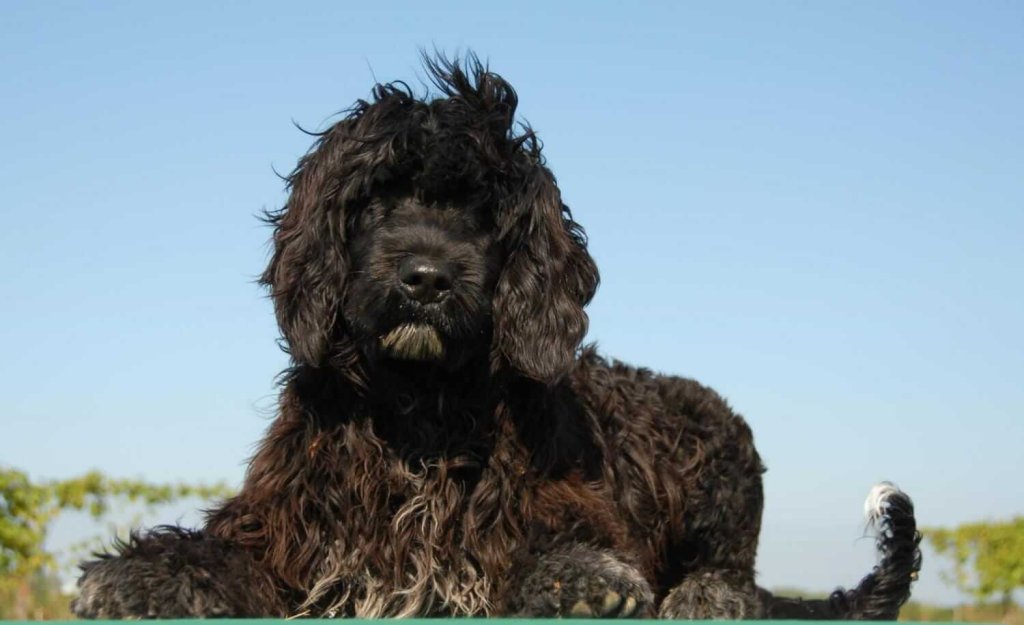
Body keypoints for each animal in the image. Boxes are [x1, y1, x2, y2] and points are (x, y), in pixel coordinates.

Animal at [72, 54, 921, 618]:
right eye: (375, 199)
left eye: (483, 211)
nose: (425, 277)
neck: (418, 410)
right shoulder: (289, 534)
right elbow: (221, 554)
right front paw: (140, 573)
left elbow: (559, 544)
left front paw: (582, 579)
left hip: (717, 454)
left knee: (736, 572)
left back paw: (705, 595)